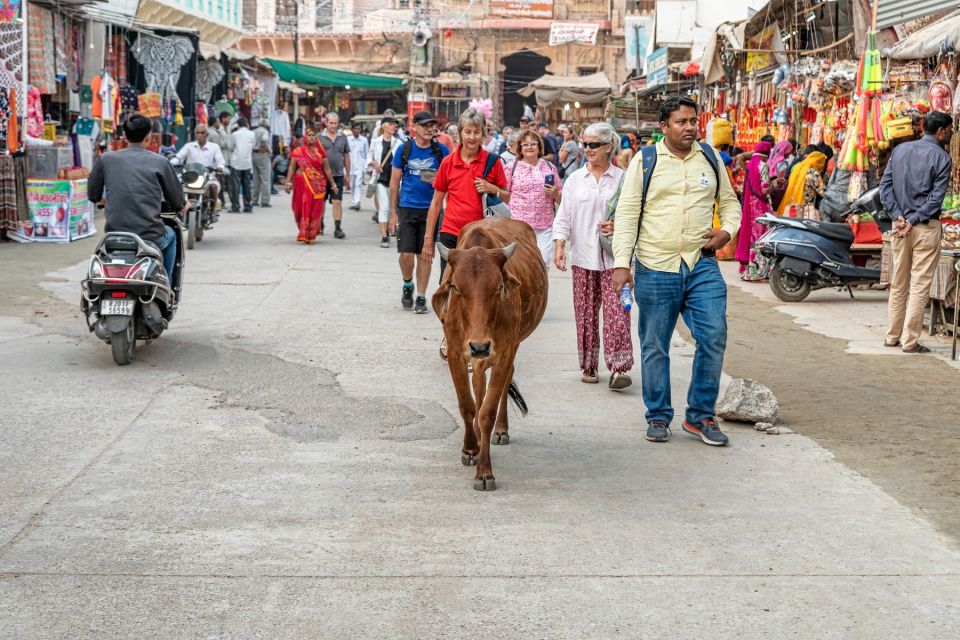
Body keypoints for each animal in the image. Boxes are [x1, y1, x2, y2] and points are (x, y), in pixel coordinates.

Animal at [430, 218, 544, 492]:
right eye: (455, 287)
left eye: (498, 287)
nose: (479, 347)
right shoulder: (456, 353)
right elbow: (467, 406)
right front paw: (470, 448)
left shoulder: (504, 351)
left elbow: (487, 413)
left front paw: (484, 472)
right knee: (478, 384)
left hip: (512, 345)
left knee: (503, 382)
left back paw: (500, 431)